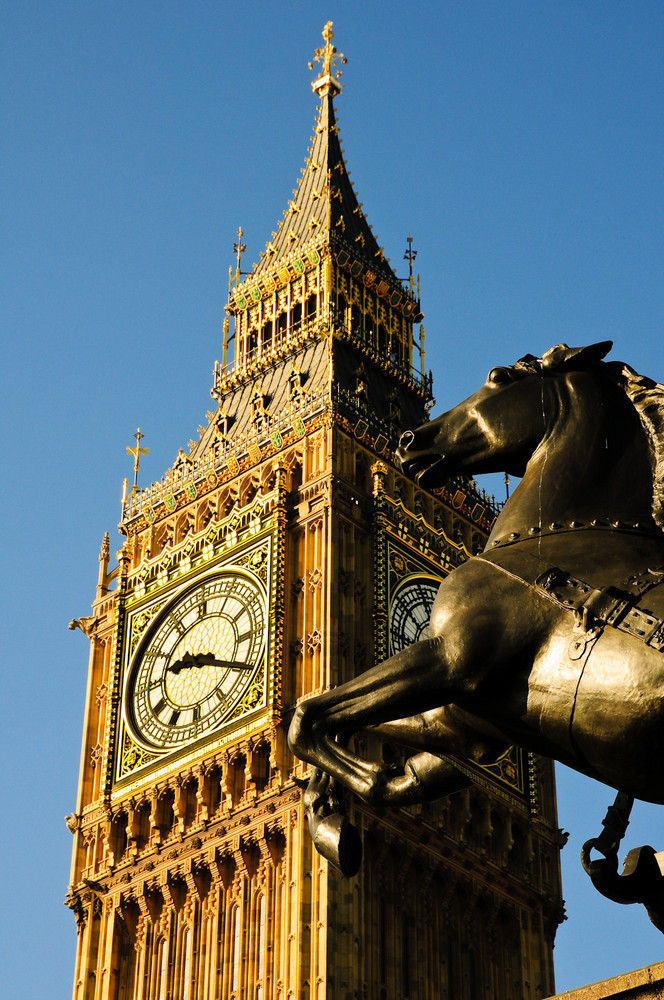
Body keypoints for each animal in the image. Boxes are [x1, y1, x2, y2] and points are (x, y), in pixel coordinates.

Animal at [290, 338, 664, 908]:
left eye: (499, 375)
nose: (407, 439)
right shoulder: (472, 720)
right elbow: (364, 741)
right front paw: (333, 809)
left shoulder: (450, 658)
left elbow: (309, 716)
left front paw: (352, 792)